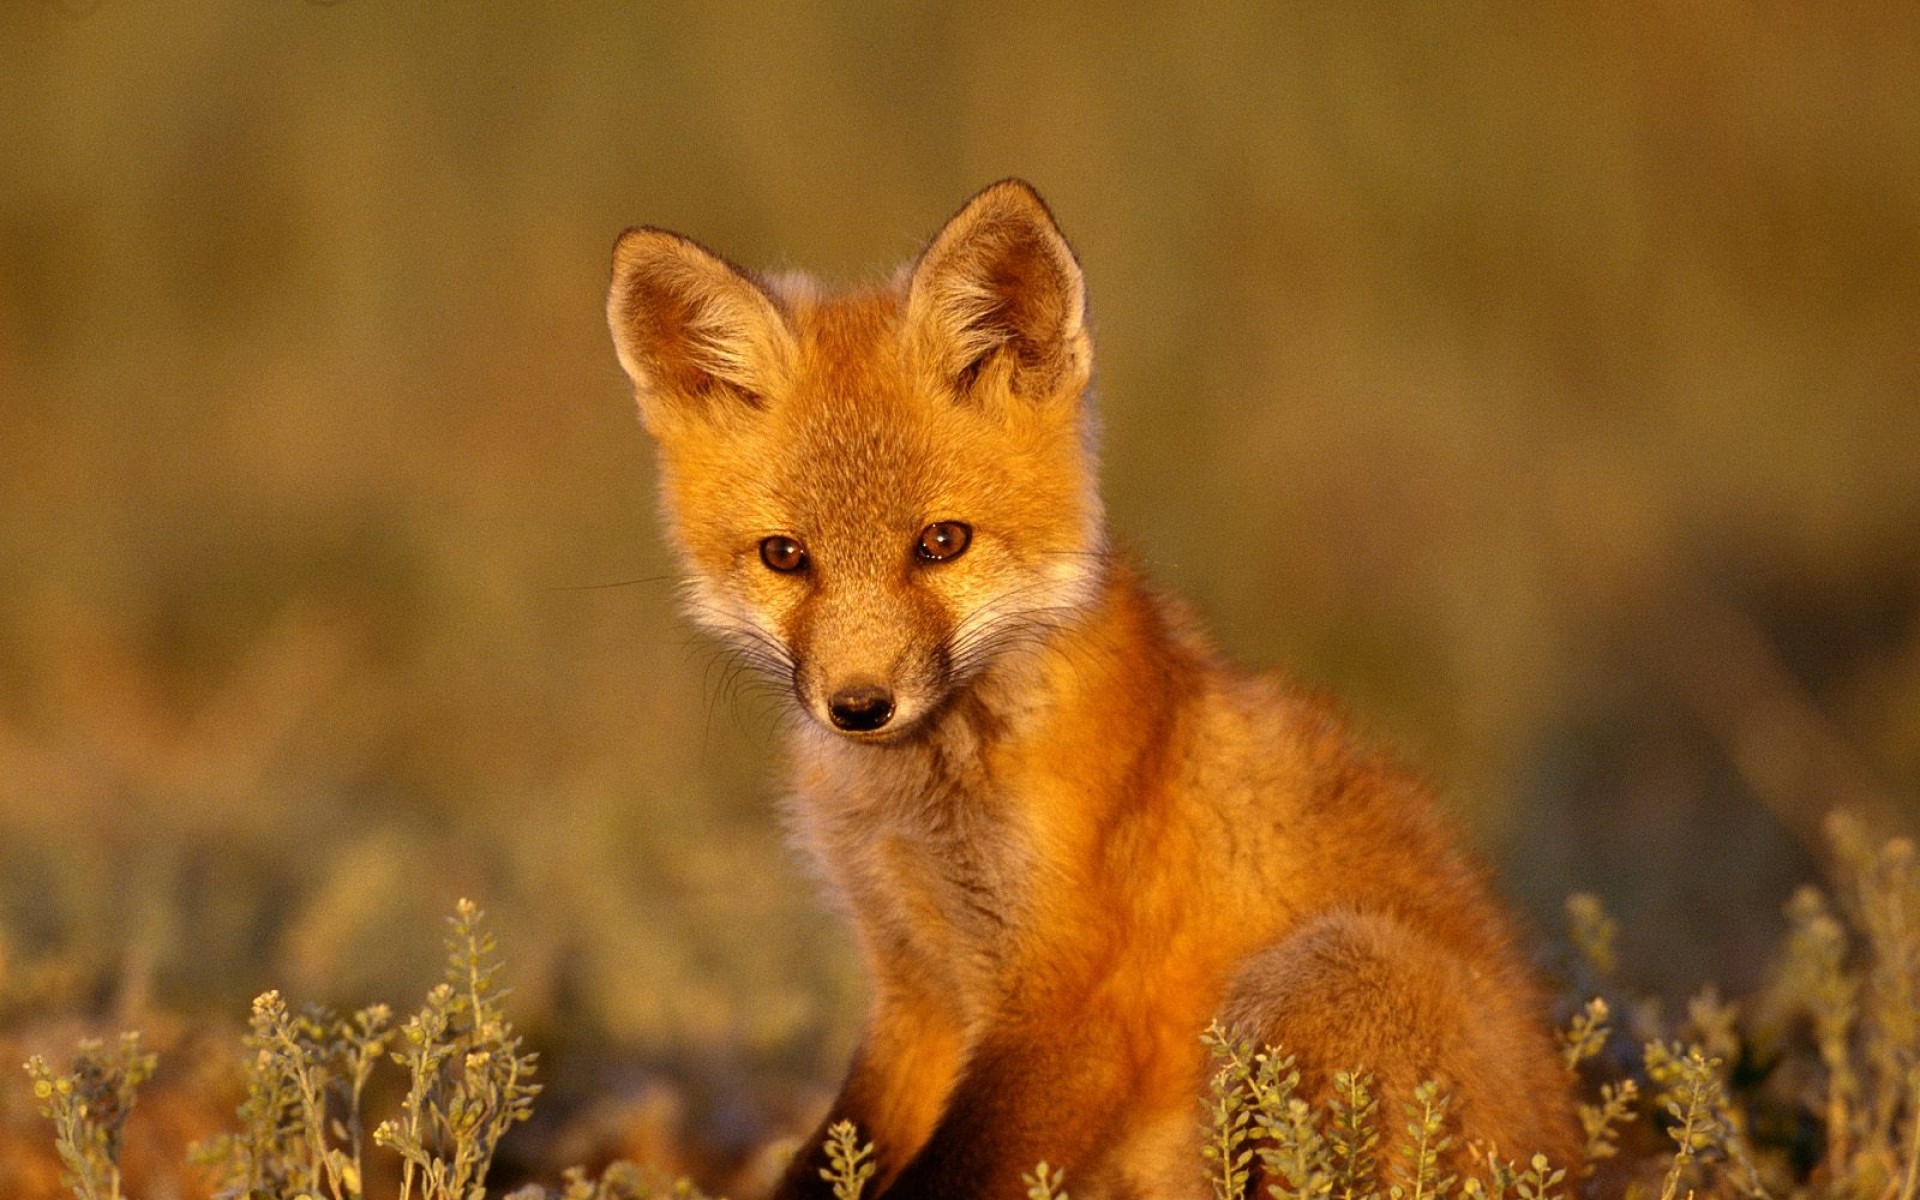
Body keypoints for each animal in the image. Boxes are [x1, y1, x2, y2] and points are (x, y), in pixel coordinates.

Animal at [604, 180, 1577, 1200]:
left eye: (941, 543)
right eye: (786, 557)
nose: (860, 706)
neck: (924, 806)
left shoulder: (1074, 1014)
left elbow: (943, 1178)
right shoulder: (915, 987)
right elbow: (831, 1157)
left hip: (1322, 969)